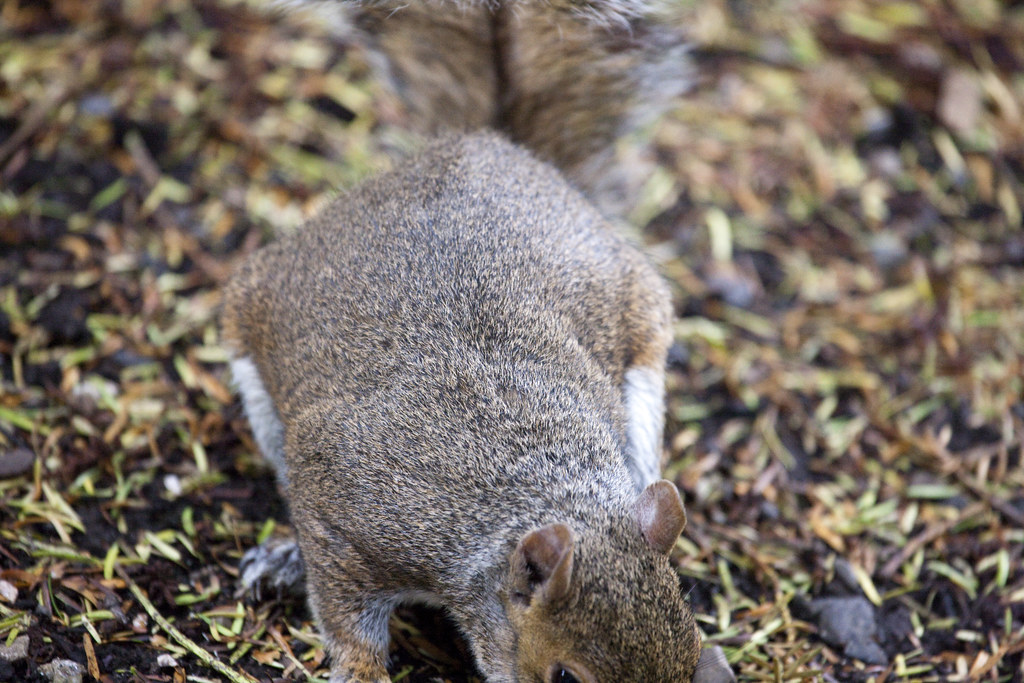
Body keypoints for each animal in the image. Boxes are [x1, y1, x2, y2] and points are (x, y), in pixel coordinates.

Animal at [222, 133, 733, 682]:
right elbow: (346, 617)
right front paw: (361, 670)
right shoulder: (342, 501)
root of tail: (485, 142)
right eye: (565, 676)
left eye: (690, 648)